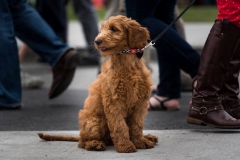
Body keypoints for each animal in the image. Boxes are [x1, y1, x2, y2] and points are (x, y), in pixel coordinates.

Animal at [38, 15, 158, 153]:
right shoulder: (114, 102)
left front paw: (139, 141)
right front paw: (125, 145)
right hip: (96, 121)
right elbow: (119, 125)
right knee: (83, 142)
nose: (97, 41)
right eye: (101, 30)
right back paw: (95, 144)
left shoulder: (140, 102)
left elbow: (137, 125)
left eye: (114, 29)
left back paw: (149, 137)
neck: (126, 63)